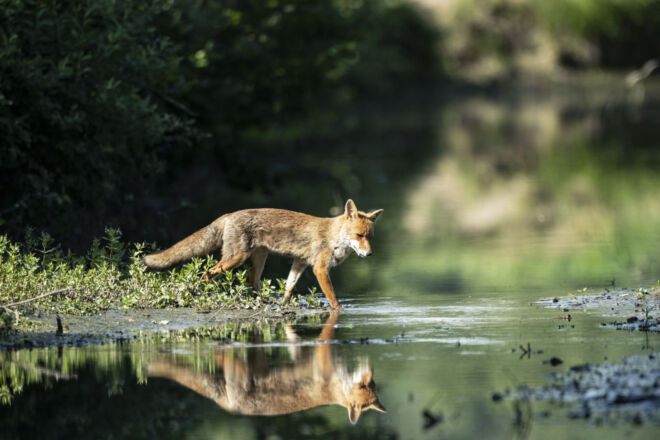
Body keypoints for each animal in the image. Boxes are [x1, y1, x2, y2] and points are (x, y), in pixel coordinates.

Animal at [141, 199, 383, 310]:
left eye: (371, 237)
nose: (370, 254)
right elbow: (332, 297)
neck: (335, 238)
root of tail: (229, 214)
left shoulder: (300, 262)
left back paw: (265, 301)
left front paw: (285, 304)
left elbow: (289, 287)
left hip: (258, 259)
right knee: (208, 273)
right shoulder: (319, 268)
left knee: (252, 282)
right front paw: (340, 311)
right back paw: (206, 296)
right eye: (359, 235)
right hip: (235, 259)